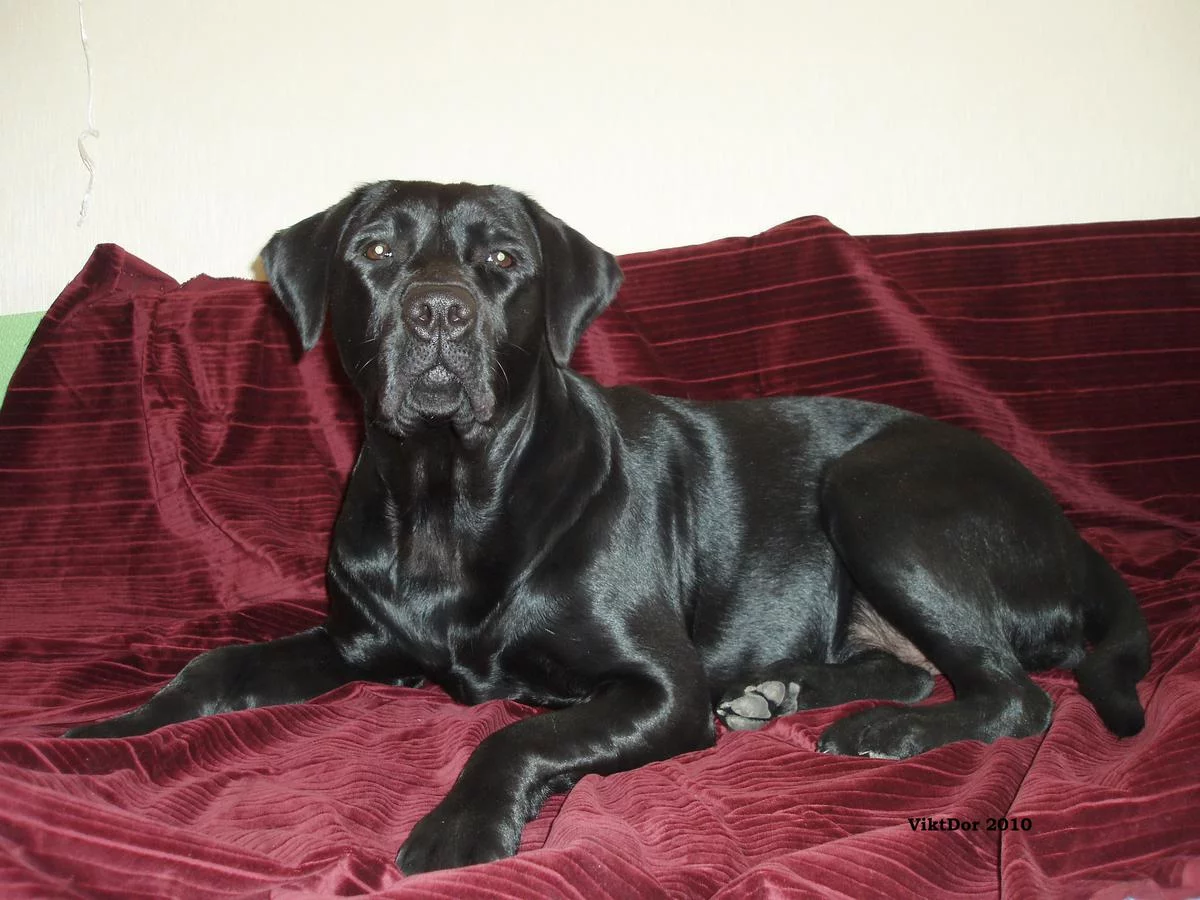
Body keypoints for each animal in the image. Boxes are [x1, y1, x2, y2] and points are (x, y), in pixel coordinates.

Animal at [66, 181, 1151, 874]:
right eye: (372, 249)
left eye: (504, 259)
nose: (437, 315)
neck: (449, 496)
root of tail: (1073, 534)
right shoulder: (358, 641)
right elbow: (217, 667)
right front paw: (106, 732)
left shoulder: (659, 689)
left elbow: (515, 736)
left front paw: (460, 830)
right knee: (924, 668)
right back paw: (781, 692)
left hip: (876, 493)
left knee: (1015, 697)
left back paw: (876, 729)